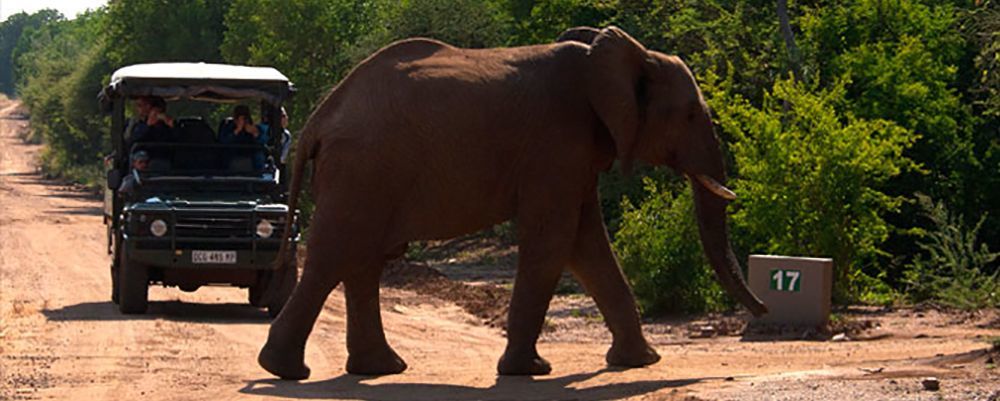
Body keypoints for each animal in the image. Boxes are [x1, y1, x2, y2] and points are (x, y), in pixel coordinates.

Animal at [258, 25, 764, 378]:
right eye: (692, 114)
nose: (761, 312)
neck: (611, 56)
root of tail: (319, 116)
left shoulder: (574, 153)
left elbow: (587, 245)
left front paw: (640, 362)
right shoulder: (555, 142)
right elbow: (556, 240)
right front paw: (531, 371)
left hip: (365, 174)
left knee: (362, 260)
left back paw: (380, 369)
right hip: (362, 169)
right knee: (337, 255)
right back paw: (284, 371)